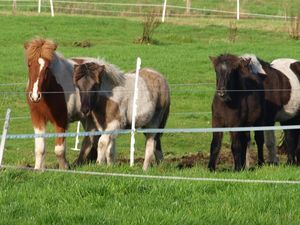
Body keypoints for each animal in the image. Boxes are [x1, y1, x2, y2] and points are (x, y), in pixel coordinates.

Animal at [24, 38, 98, 169]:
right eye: (29, 64)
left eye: (47, 68)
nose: (35, 96)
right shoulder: (37, 118)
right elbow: (39, 148)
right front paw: (38, 169)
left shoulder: (61, 120)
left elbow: (59, 150)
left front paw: (64, 167)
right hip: (86, 117)